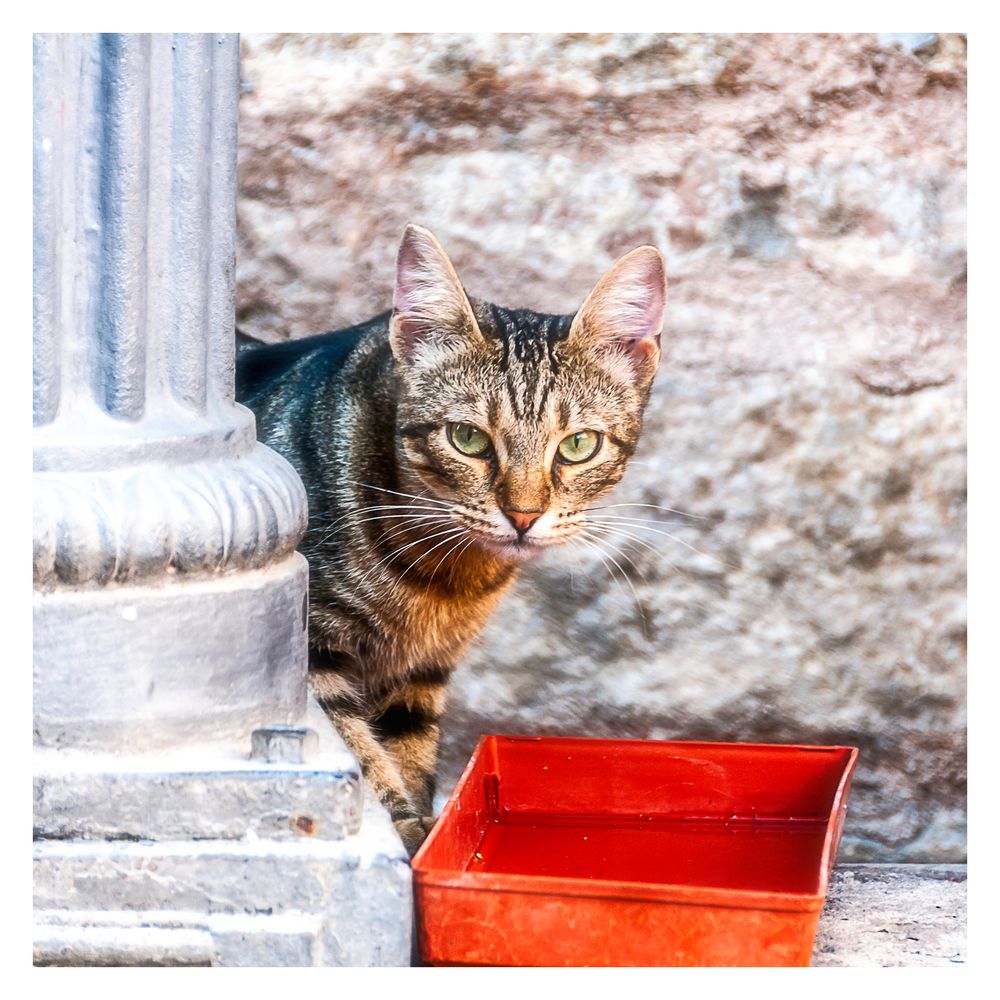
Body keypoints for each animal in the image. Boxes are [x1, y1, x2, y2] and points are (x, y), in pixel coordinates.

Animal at [237, 227, 668, 852]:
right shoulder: (307, 657)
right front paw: (409, 831)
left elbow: (407, 755)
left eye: (578, 445)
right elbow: (357, 758)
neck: (441, 576)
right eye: (467, 438)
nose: (523, 515)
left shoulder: (423, 674)